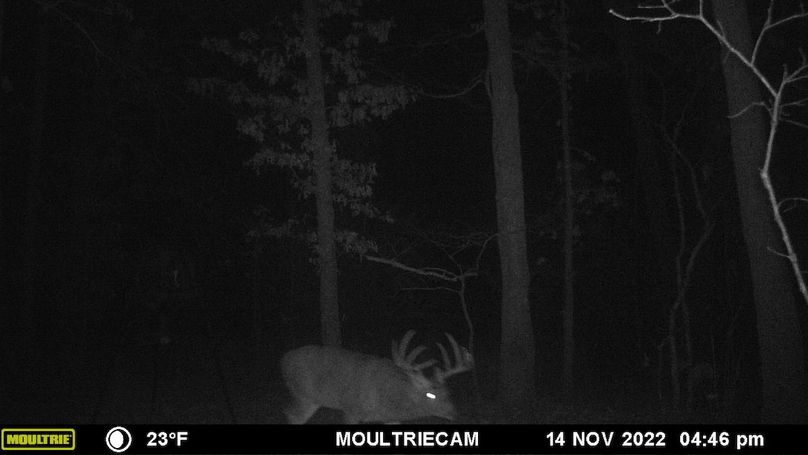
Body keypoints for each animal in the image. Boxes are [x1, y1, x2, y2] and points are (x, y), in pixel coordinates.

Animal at [280, 330, 473, 424]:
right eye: (431, 395)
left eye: (449, 393)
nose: (454, 414)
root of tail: (283, 360)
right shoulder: (351, 409)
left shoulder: (392, 418)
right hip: (303, 393)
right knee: (292, 415)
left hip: (312, 399)